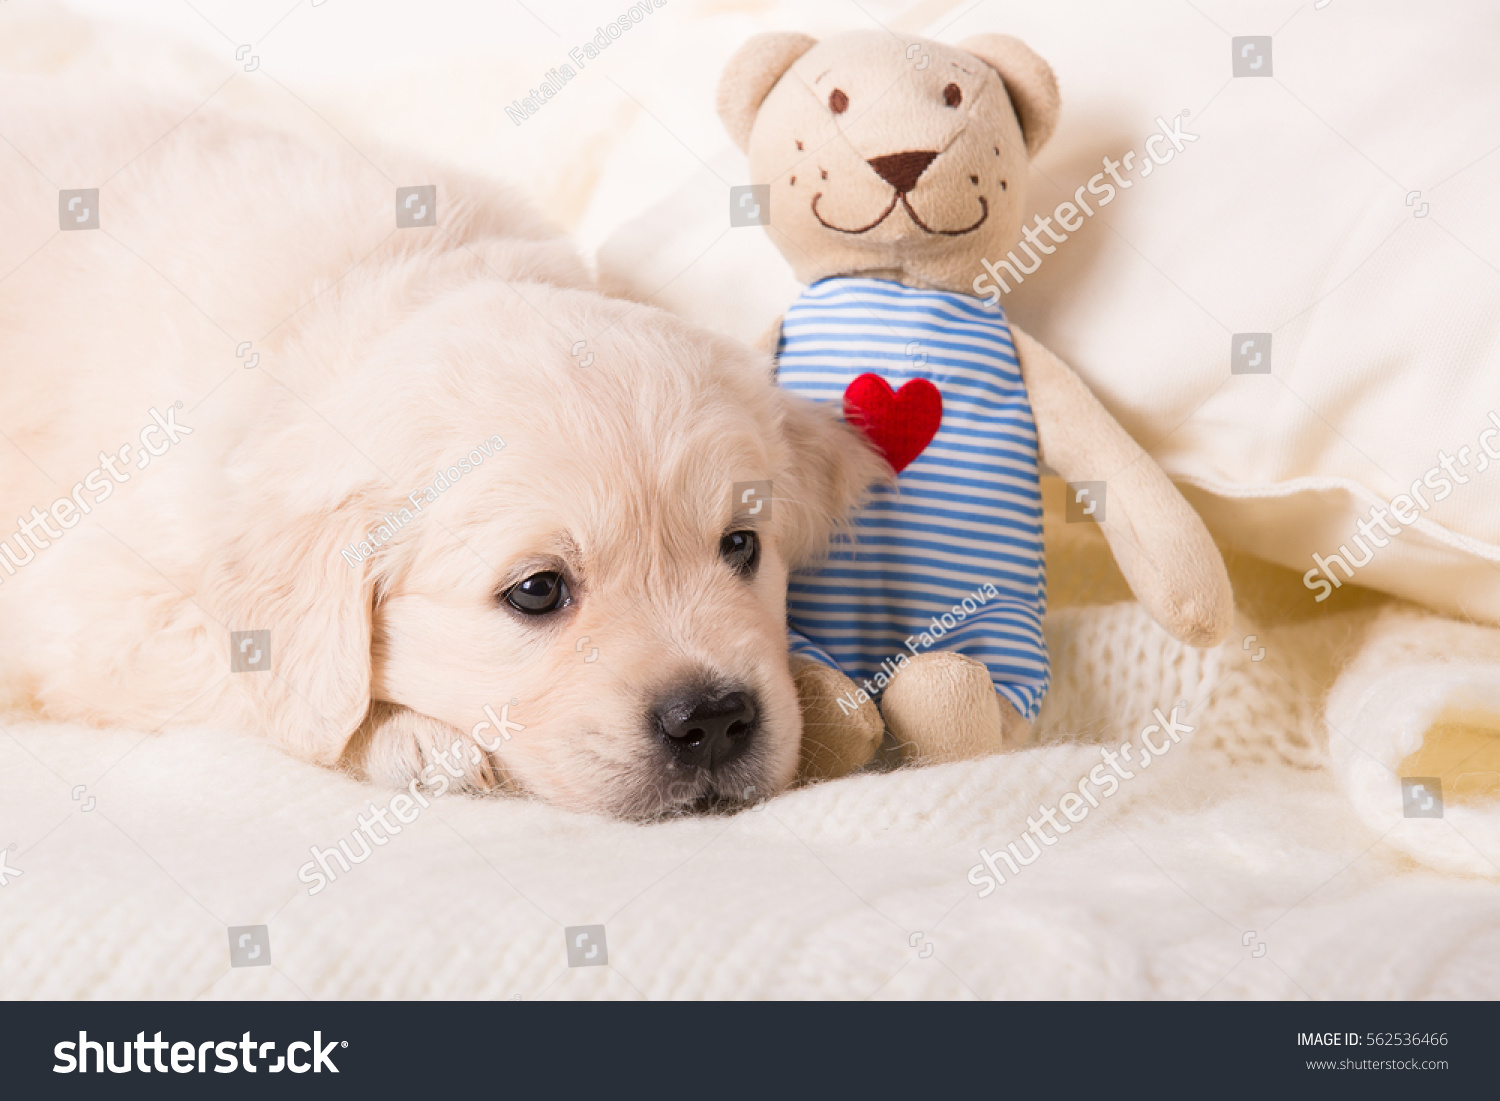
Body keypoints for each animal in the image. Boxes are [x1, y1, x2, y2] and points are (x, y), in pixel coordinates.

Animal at [0, 79, 882, 822]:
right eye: (536, 591)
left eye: (741, 546)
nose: (715, 719)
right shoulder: (91, 608)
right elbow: (265, 688)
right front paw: (411, 737)